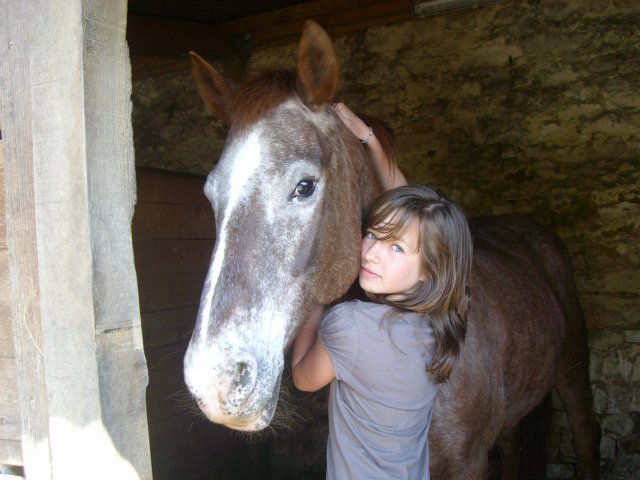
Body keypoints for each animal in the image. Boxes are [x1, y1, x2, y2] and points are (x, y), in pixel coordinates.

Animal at [182, 20, 600, 479]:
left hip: (573, 368)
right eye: (210, 194)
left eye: (304, 186)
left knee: (586, 435)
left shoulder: (469, 461)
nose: (213, 382)